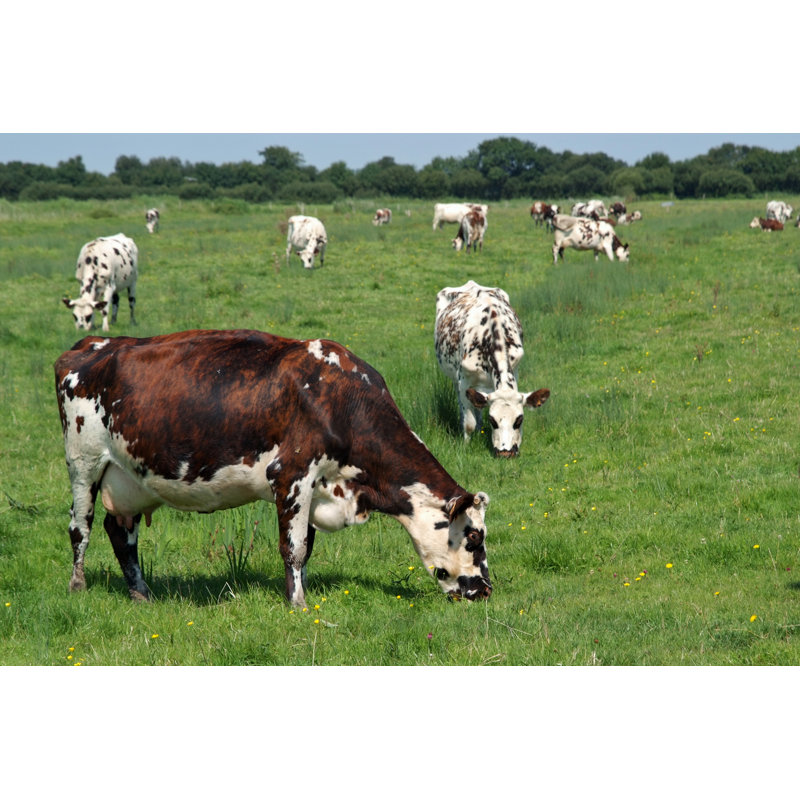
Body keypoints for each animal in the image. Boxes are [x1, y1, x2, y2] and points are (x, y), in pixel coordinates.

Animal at [54, 329, 493, 607]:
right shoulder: (291, 475)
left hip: (129, 479)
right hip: (83, 463)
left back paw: (141, 594)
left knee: (120, 531)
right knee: (81, 527)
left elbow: (306, 547)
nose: (486, 590)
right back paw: (77, 586)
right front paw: (297, 603)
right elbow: (294, 548)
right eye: (473, 537)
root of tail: (92, 344)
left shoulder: (317, 487)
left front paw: (299, 591)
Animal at [434, 281, 550, 458]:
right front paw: (466, 445)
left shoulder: (515, 371)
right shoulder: (463, 380)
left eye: (519, 420)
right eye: (493, 421)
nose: (505, 453)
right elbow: (469, 422)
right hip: (455, 378)